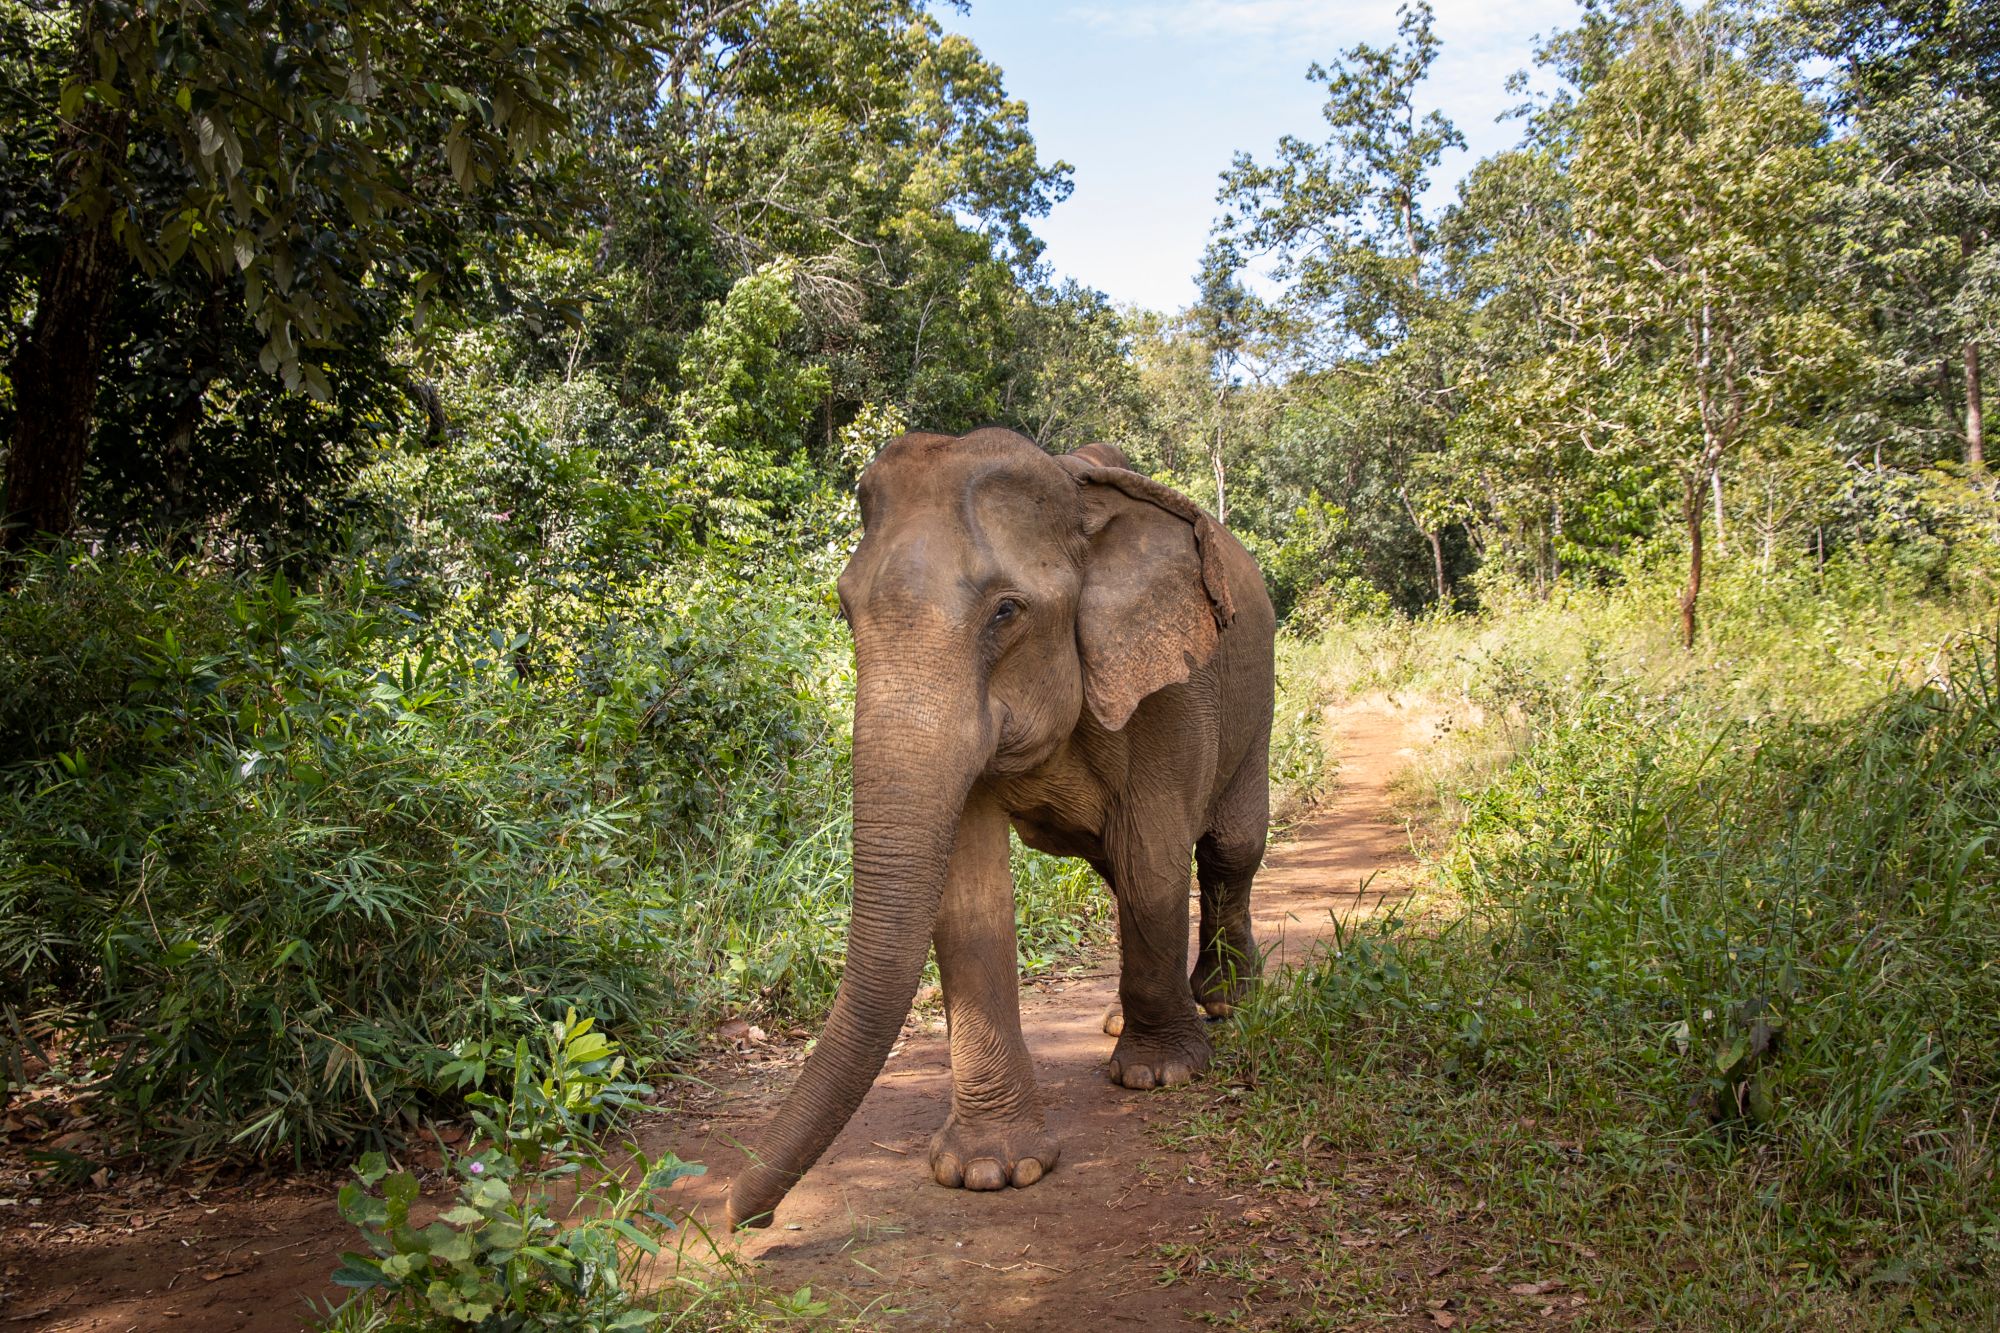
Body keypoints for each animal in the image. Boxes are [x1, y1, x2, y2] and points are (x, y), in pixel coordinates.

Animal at [726, 427, 1275, 1228]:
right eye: (845, 609)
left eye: (1006, 612)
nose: (742, 1217)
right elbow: (969, 894)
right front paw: (990, 1171)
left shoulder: (1168, 684)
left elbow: (1152, 855)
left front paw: (1160, 1074)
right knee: (1120, 866)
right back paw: (1126, 1020)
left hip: (1256, 692)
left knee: (1228, 846)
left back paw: (1226, 1000)